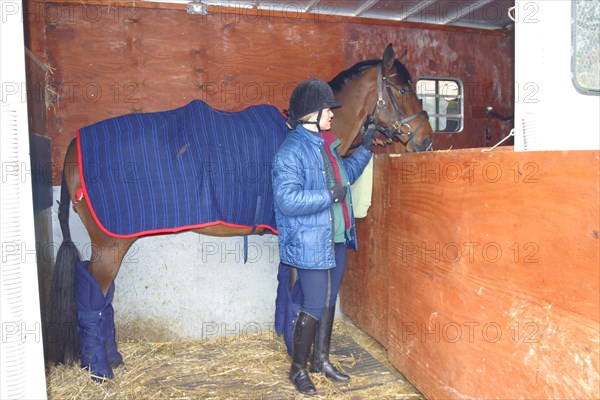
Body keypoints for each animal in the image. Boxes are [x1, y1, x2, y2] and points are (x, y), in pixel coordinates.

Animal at [47, 43, 432, 382]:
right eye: (402, 89)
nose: (426, 140)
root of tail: (73, 145)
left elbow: (286, 293)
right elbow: (300, 298)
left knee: (104, 299)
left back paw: (112, 359)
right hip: (111, 245)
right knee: (94, 300)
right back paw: (100, 370)